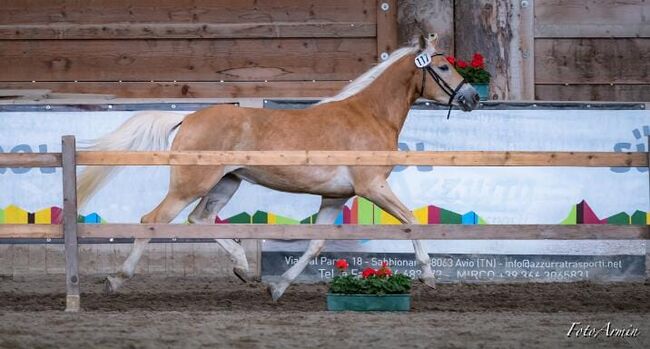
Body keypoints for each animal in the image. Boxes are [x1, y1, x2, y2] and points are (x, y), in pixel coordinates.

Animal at [78, 34, 478, 300]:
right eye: (443, 66)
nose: (473, 97)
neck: (369, 115)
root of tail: (189, 118)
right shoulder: (372, 187)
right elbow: (411, 222)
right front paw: (429, 276)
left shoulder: (335, 197)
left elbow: (316, 243)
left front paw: (278, 286)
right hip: (190, 185)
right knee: (152, 221)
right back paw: (116, 278)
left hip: (226, 183)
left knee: (199, 219)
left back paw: (242, 268)